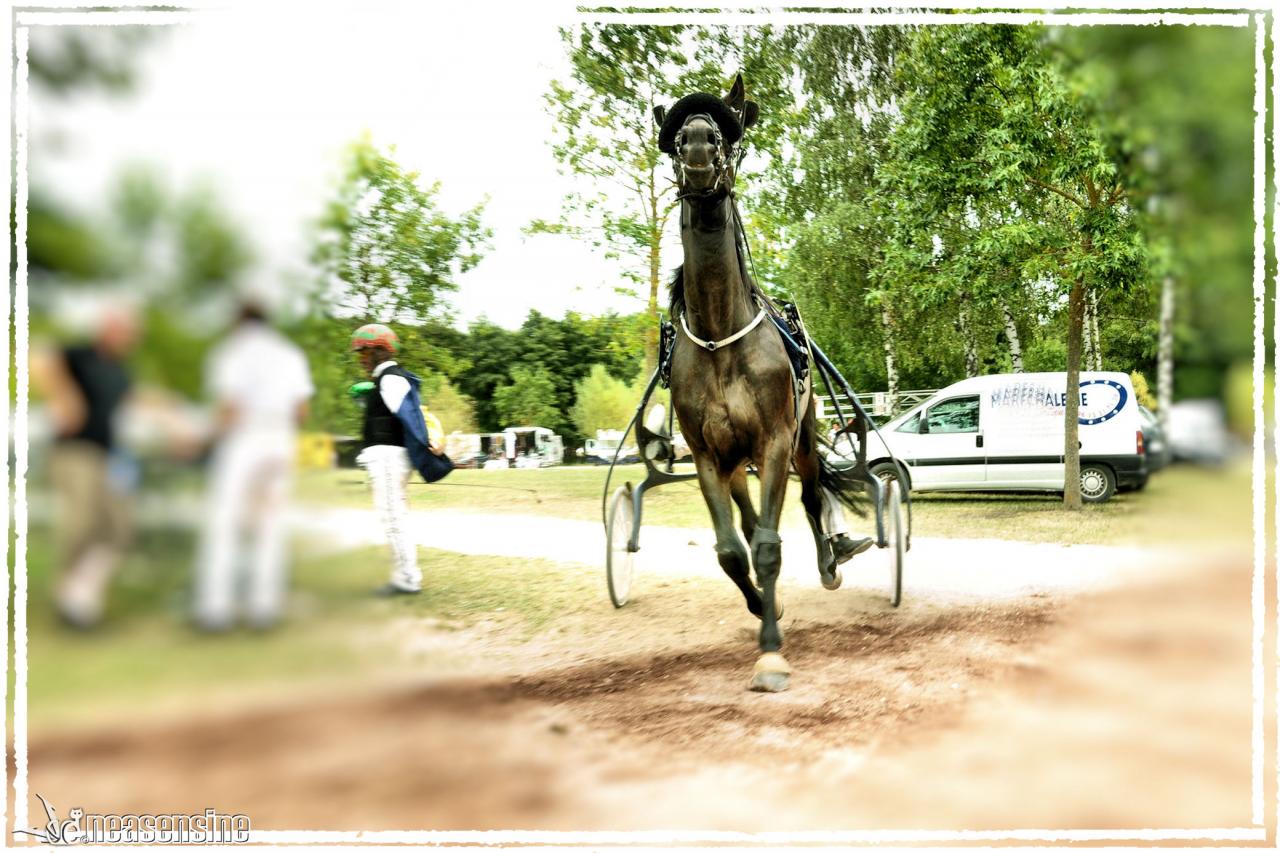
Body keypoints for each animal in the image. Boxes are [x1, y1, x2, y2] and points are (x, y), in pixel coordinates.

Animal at [655, 76, 865, 691]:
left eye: (725, 132)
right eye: (677, 135)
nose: (698, 144)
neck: (721, 334)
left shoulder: (773, 440)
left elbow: (769, 546)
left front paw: (771, 652)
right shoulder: (705, 454)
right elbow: (731, 551)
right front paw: (760, 608)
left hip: (802, 438)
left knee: (813, 495)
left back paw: (830, 562)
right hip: (733, 463)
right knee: (746, 525)